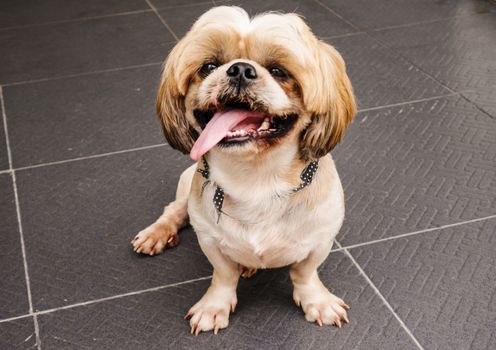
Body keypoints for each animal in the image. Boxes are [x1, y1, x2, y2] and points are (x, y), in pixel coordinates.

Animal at [132, 4, 356, 334]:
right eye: (209, 66)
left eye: (278, 71)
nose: (239, 69)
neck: (256, 179)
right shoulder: (210, 239)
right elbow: (223, 275)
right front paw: (214, 306)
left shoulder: (320, 239)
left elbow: (305, 274)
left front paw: (317, 301)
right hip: (186, 184)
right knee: (174, 210)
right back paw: (157, 233)